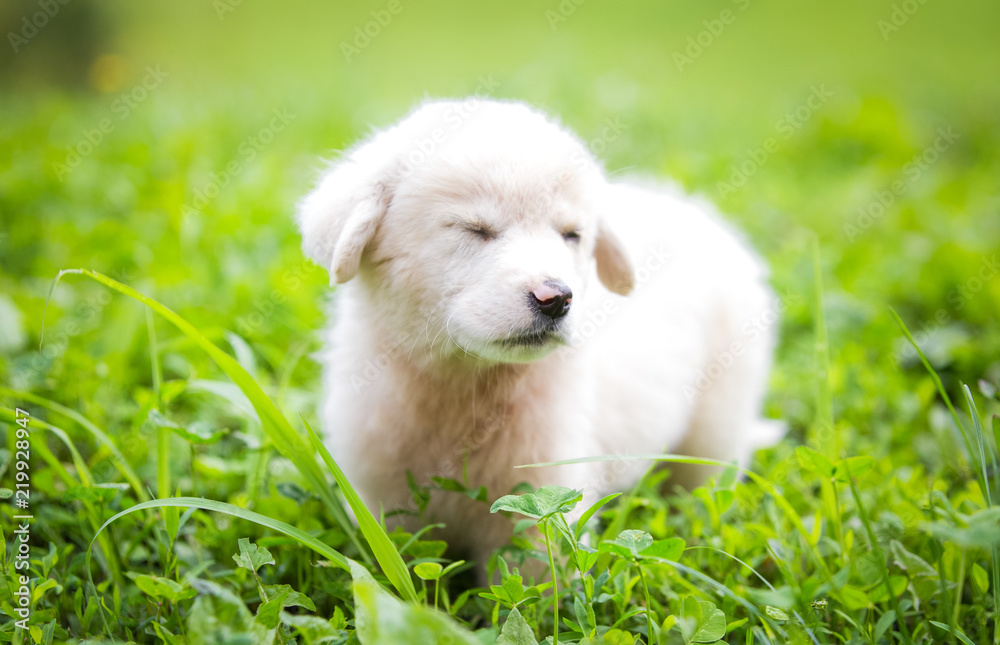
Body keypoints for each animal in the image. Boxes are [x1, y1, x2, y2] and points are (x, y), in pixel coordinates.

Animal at [296, 97, 780, 564]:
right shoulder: (381, 497)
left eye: (571, 235)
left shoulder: (543, 503)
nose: (557, 299)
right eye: (475, 230)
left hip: (716, 422)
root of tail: (700, 214)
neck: (465, 384)